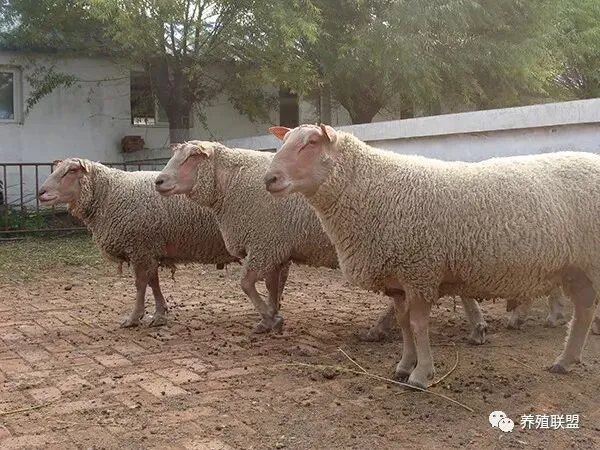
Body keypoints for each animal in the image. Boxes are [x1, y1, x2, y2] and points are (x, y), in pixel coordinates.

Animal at [38, 158, 238, 327]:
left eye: (71, 171)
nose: (41, 192)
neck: (109, 194)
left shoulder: (140, 247)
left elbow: (140, 284)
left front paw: (134, 318)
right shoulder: (149, 249)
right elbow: (153, 282)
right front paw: (160, 314)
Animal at [153, 140, 491, 341]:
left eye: (190, 158)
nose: (158, 181)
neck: (231, 186)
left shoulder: (265, 243)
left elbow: (247, 284)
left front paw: (270, 318)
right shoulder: (277, 246)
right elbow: (273, 287)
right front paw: (271, 318)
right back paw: (475, 327)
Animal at [264, 123, 600, 389]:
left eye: (311, 143)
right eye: (286, 141)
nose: (269, 179)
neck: (370, 189)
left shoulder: (420, 271)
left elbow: (418, 325)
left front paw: (421, 374)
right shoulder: (399, 278)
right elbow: (403, 324)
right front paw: (404, 365)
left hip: (590, 261)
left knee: (585, 310)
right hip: (577, 268)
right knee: (584, 310)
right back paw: (565, 361)